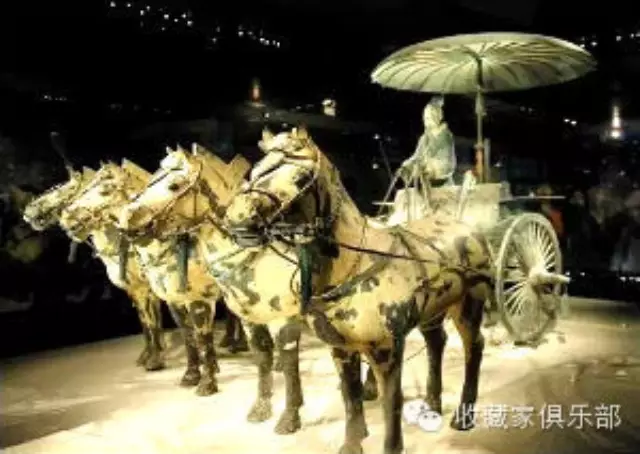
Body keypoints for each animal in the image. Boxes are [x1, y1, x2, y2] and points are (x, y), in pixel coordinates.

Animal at [58, 156, 249, 396]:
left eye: (105, 189)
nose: (66, 218)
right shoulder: (165, 297)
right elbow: (176, 331)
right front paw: (189, 372)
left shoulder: (194, 297)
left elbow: (196, 333)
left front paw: (205, 379)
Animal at [116, 144, 380, 434]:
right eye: (150, 181)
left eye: (174, 185)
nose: (127, 219)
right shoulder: (229, 312)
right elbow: (249, 353)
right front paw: (257, 407)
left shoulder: (267, 315)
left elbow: (283, 359)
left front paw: (288, 416)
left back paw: (369, 387)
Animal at [223, 127, 494, 454]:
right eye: (256, 171)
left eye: (300, 178)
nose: (238, 220)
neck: (356, 263)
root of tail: (466, 226)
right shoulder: (341, 348)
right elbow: (350, 398)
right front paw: (351, 444)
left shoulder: (386, 350)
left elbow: (392, 400)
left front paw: (391, 446)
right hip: (433, 311)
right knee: (436, 343)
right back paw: (431, 404)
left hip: (469, 306)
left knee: (474, 347)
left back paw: (464, 415)